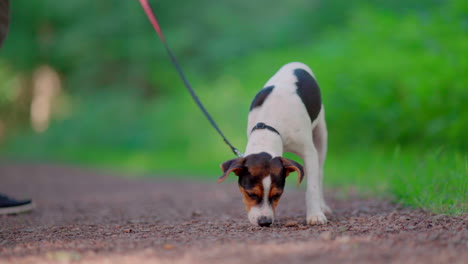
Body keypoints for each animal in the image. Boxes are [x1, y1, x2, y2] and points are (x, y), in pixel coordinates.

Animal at [218, 62, 330, 227]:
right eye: (251, 194)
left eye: (277, 195)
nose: (265, 222)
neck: (269, 126)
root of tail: (296, 63)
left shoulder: (308, 151)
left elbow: (312, 187)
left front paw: (315, 215)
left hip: (321, 134)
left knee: (319, 173)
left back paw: (322, 206)